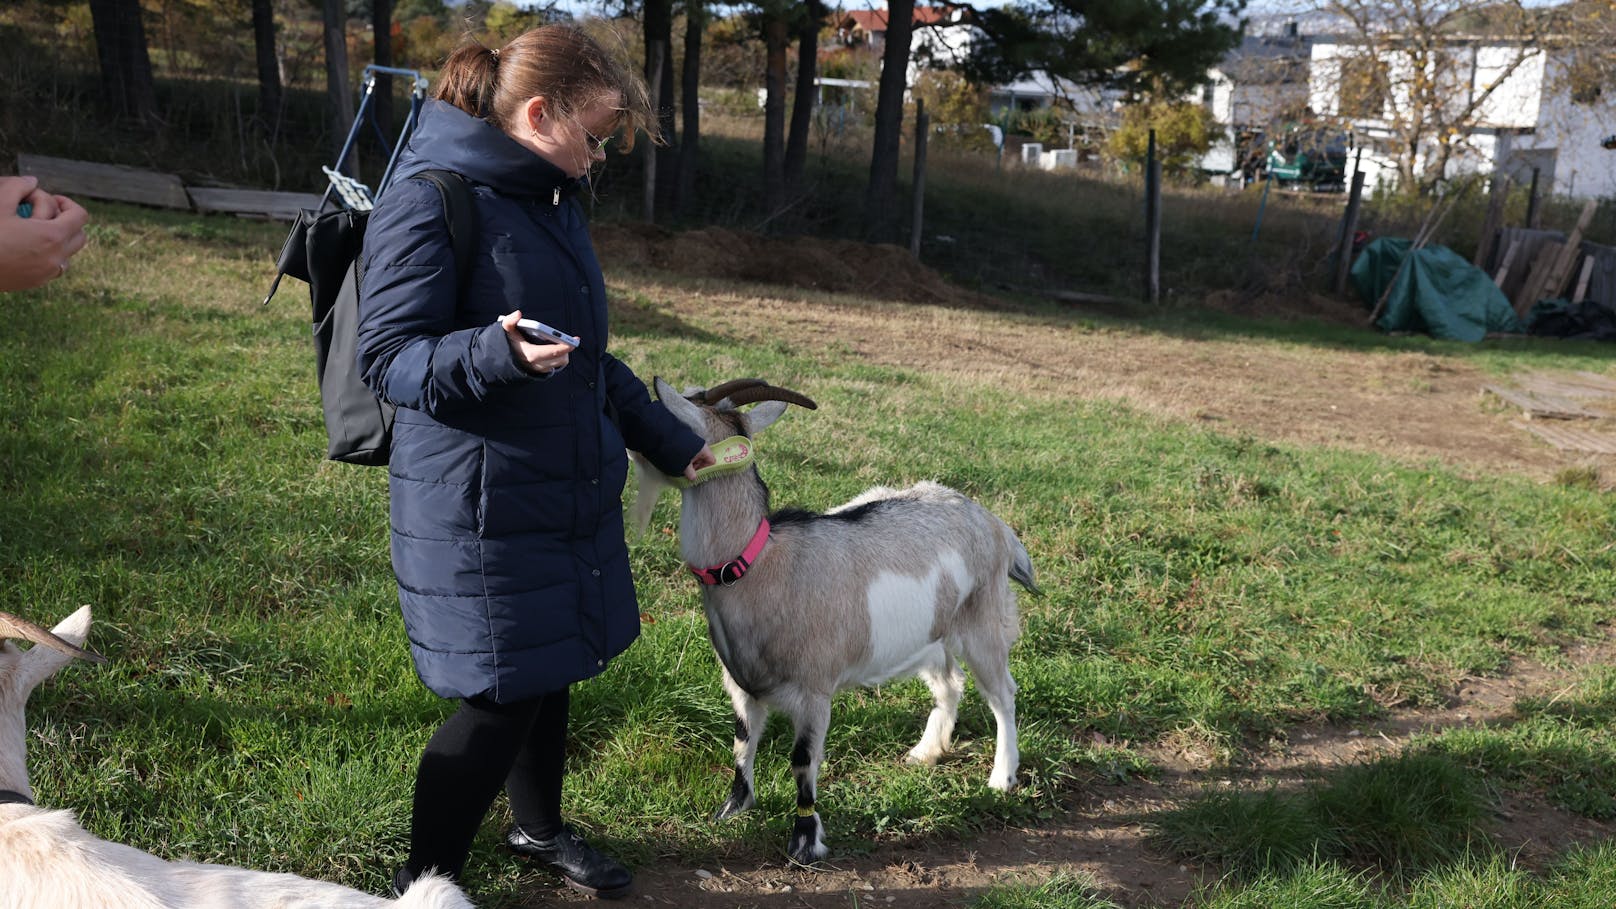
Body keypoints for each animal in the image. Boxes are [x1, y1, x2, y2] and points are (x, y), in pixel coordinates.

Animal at [630, 378, 1034, 860]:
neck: (760, 564)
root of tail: (995, 524)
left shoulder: (814, 690)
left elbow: (802, 761)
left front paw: (805, 843)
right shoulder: (740, 684)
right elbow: (742, 742)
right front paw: (731, 809)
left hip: (982, 622)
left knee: (1001, 695)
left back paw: (1002, 778)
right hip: (930, 634)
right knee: (949, 684)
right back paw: (925, 752)